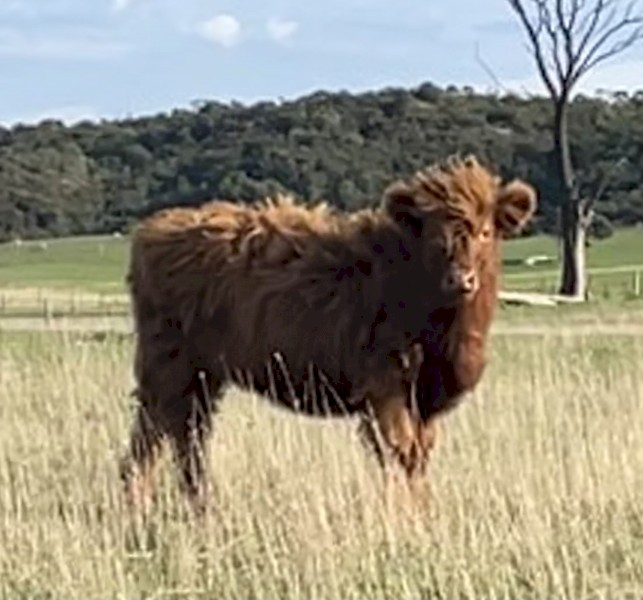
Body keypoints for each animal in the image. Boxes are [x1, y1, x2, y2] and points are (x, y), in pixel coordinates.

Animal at [120, 155, 537, 515]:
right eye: (434, 238)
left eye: (485, 232)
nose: (461, 280)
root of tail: (157, 227)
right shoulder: (383, 386)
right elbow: (398, 452)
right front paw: (403, 517)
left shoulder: (425, 397)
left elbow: (419, 456)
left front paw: (423, 511)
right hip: (169, 368)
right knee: (155, 439)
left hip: (202, 376)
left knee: (184, 438)